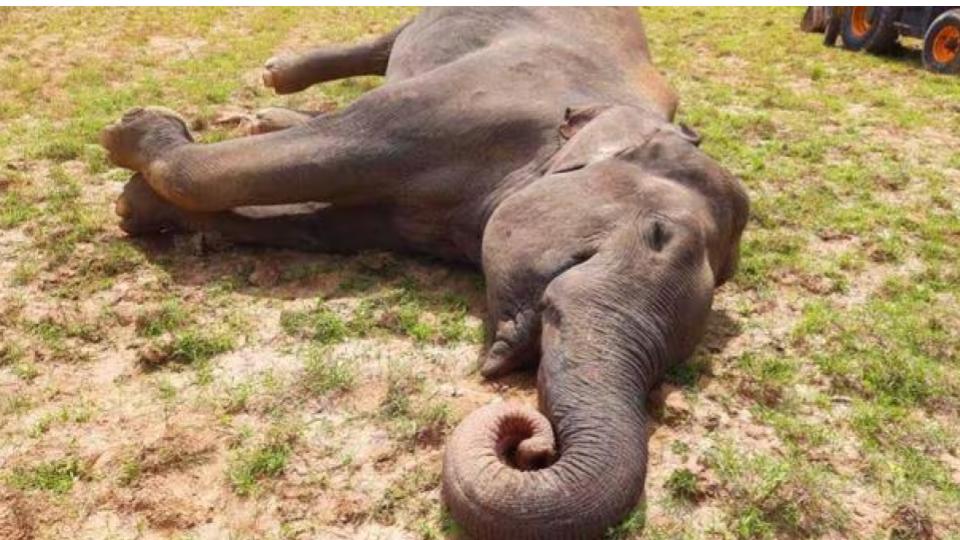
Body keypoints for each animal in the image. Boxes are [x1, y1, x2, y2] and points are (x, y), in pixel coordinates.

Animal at [100, 7, 749, 539]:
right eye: (658, 235)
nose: (528, 435)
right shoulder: (462, 102)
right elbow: (317, 151)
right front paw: (133, 133)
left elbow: (323, 223)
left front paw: (138, 204)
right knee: (387, 42)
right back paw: (273, 79)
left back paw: (267, 115)